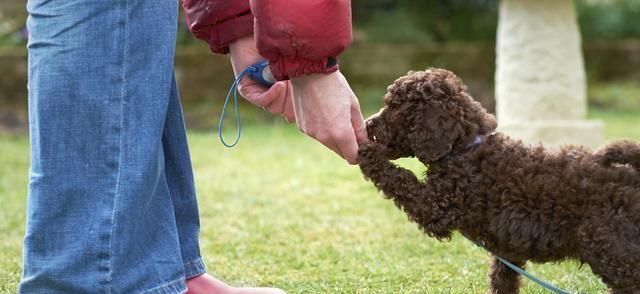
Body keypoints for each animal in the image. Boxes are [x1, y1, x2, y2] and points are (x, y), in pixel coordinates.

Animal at [360, 68, 640, 292]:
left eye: (397, 107)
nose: (368, 124)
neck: (465, 147)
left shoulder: (438, 207)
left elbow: (401, 178)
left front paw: (367, 153)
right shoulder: (507, 252)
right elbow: (501, 280)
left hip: (613, 251)